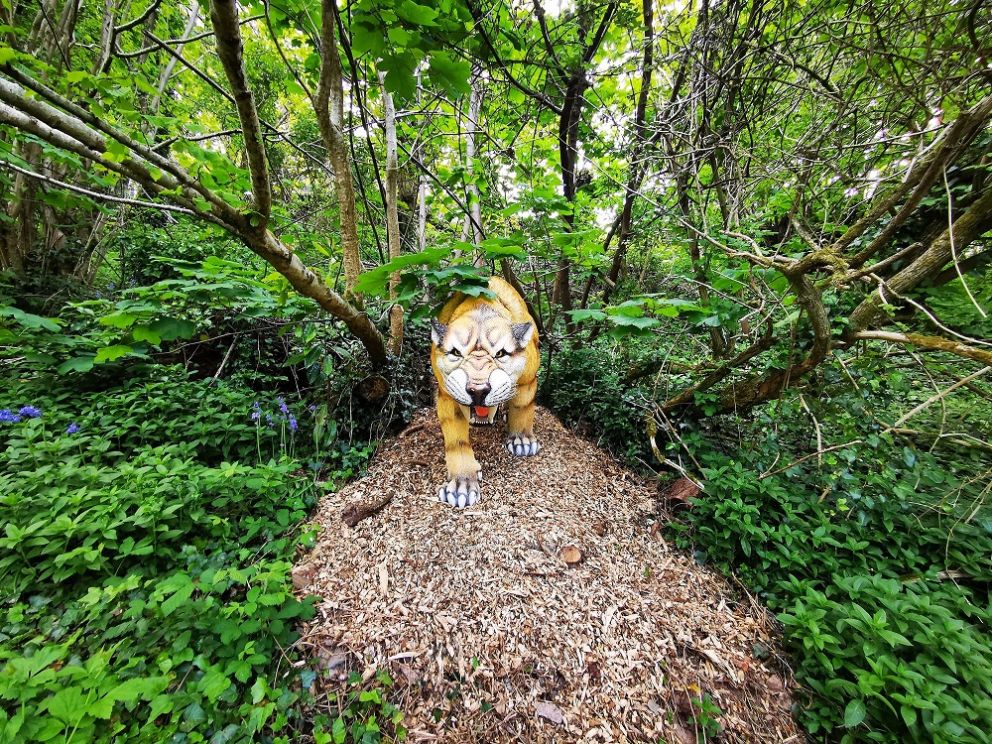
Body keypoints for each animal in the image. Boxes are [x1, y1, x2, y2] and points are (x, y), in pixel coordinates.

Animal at [430, 276, 541, 508]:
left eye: (500, 353)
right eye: (456, 352)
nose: (478, 390)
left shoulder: (527, 380)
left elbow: (522, 407)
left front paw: (522, 442)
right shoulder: (447, 393)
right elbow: (457, 441)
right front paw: (461, 486)